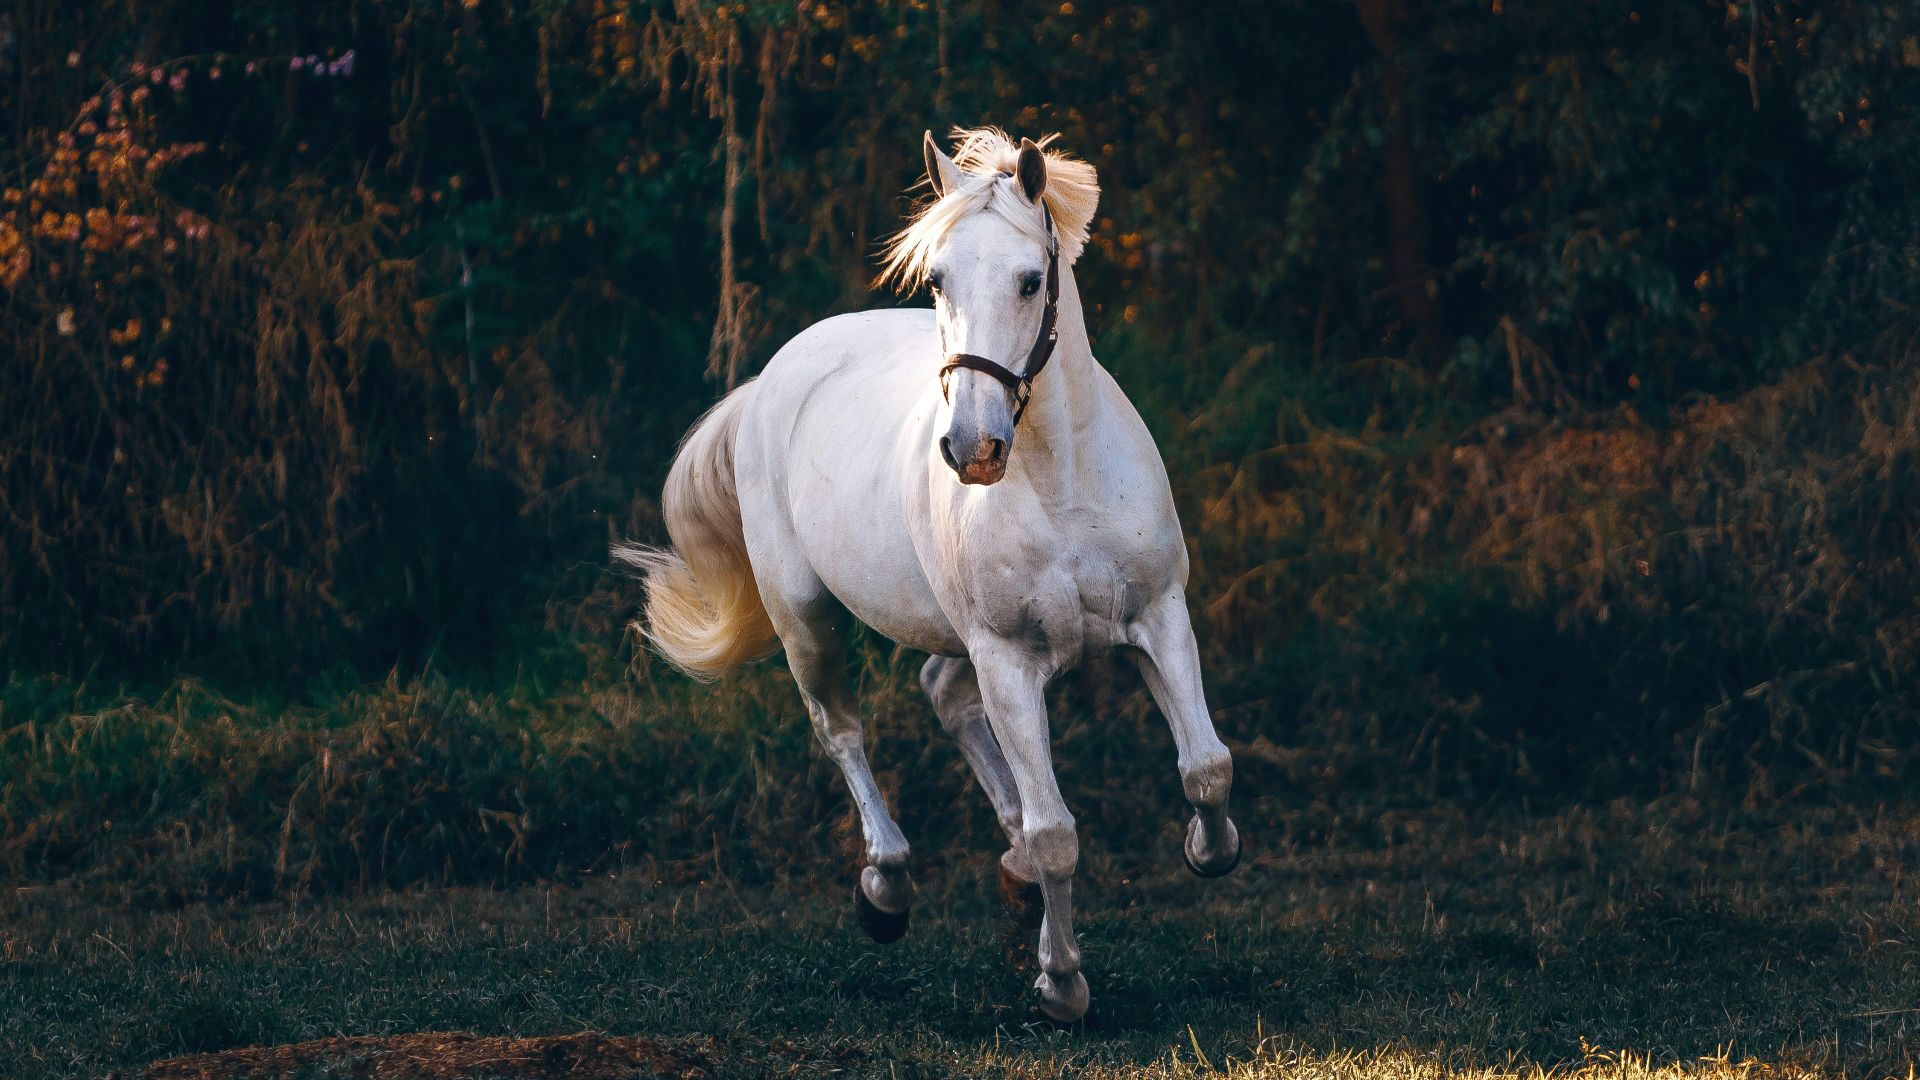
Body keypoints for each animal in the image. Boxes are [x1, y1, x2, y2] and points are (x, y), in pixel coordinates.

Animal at [616, 127, 1240, 1022]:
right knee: (842, 730)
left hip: (952, 634)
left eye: (1030, 280)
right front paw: (1062, 983)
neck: (1062, 482)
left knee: (942, 693)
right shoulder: (1008, 659)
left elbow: (1206, 769)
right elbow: (1057, 832)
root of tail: (773, 378)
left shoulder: (1159, 618)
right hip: (807, 618)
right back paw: (886, 888)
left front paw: (1201, 850)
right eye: (938, 278)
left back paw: (1008, 874)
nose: (972, 448)